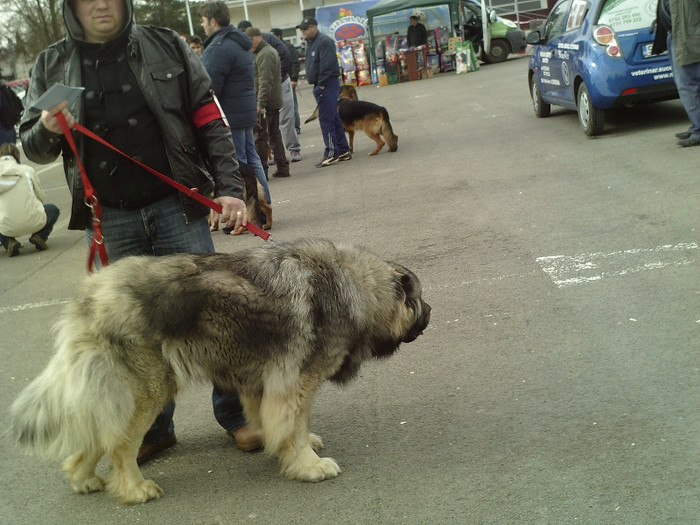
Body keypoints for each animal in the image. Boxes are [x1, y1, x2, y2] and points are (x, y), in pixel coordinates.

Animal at [10, 241, 430, 504]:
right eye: (419, 298)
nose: (431, 311)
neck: (356, 287)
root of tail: (88, 298)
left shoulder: (267, 383)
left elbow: (285, 423)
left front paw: (297, 447)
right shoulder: (296, 380)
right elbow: (293, 425)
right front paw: (308, 465)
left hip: (115, 390)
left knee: (97, 434)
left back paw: (83, 478)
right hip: (147, 389)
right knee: (120, 445)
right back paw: (133, 489)